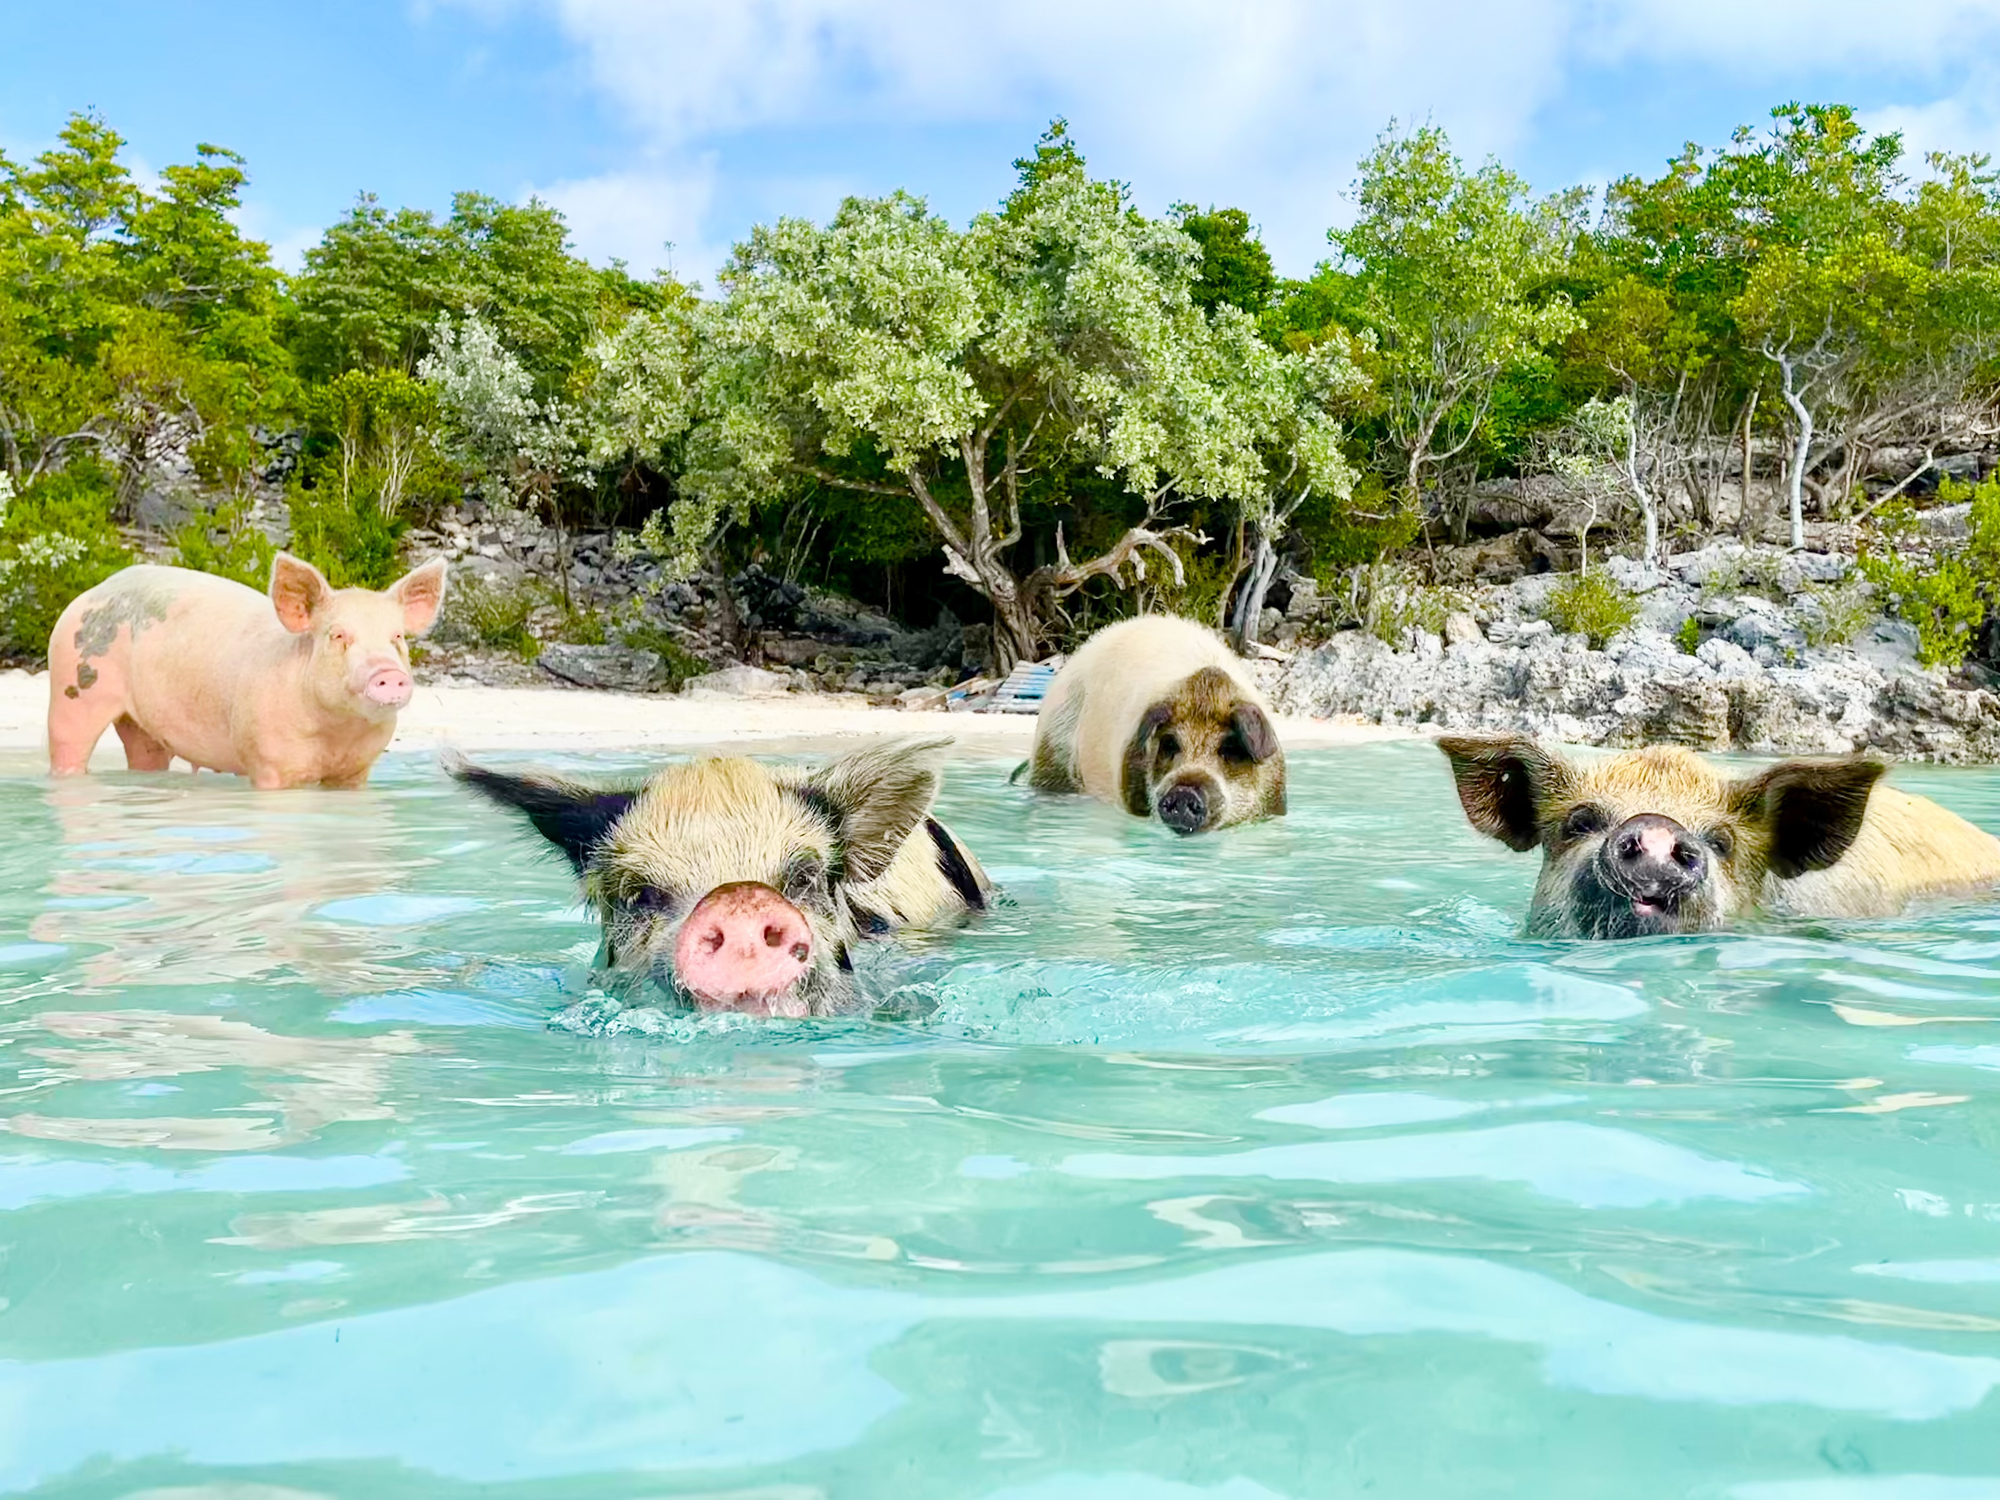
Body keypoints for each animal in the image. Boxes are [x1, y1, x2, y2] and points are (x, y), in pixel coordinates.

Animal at [47, 548, 450, 788]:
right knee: (68, 743)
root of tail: (93, 590)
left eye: (396, 637)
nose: (389, 673)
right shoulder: (268, 759)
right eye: (337, 635)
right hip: (71, 684)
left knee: (145, 754)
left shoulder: (357, 770)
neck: (336, 733)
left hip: (142, 726)